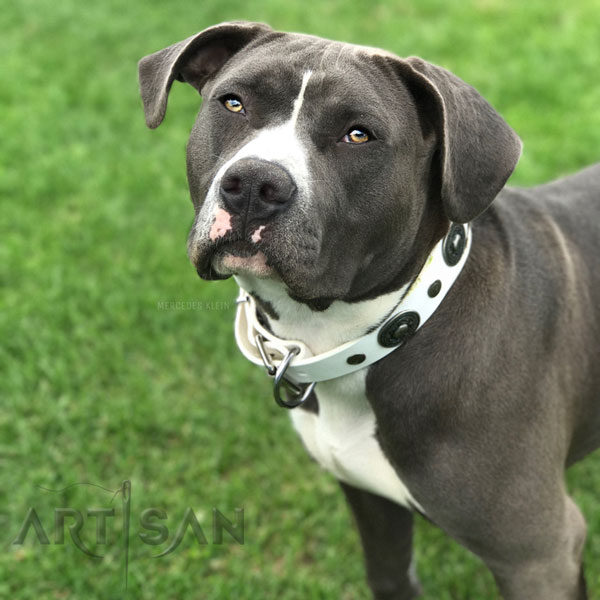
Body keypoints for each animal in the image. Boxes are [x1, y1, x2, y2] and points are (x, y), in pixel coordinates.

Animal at [138, 22, 596, 600]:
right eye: (234, 103)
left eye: (358, 135)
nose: (255, 185)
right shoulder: (370, 499)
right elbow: (389, 574)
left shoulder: (538, 554)